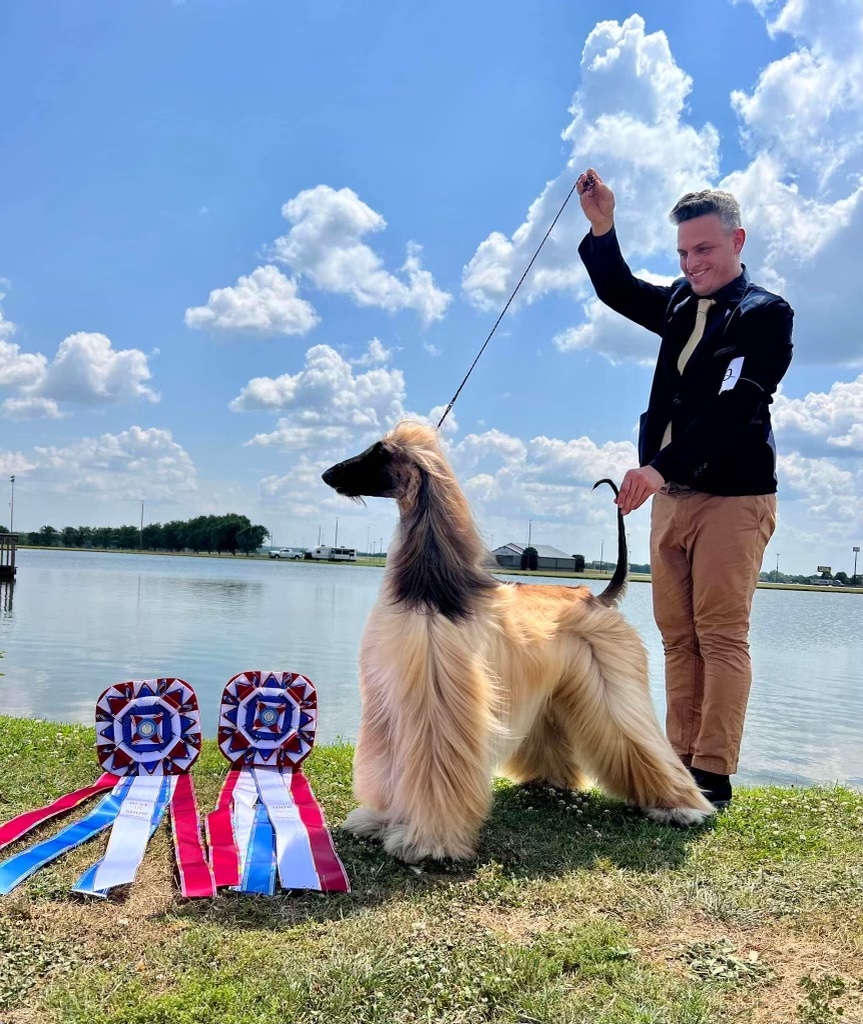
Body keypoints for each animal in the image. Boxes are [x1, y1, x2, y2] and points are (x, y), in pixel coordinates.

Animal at [322, 421, 713, 863]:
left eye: (379, 453)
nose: (328, 474)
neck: (430, 584)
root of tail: (598, 596)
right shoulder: (390, 698)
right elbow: (390, 767)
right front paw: (381, 820)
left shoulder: (437, 701)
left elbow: (432, 768)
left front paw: (427, 840)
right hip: (558, 688)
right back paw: (550, 779)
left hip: (612, 683)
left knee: (639, 736)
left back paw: (682, 806)